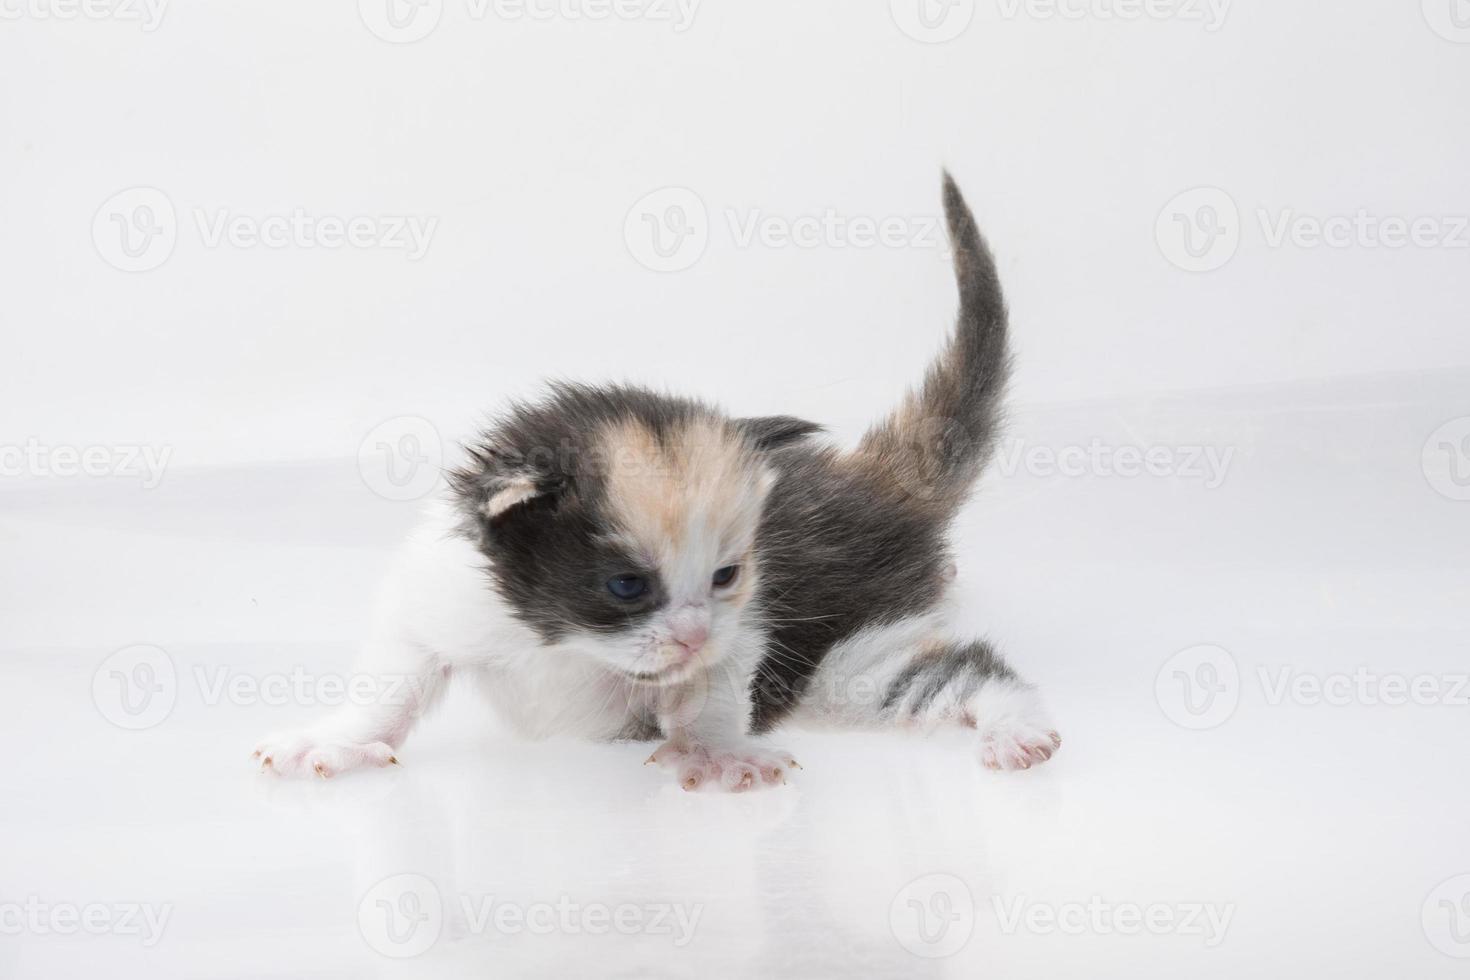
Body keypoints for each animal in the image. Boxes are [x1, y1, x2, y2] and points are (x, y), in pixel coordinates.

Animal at [252, 174, 1058, 787]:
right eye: (626, 586)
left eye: (727, 575)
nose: (693, 636)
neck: (564, 643)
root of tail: (872, 486)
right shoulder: (438, 597)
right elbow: (391, 684)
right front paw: (336, 740)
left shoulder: (747, 628)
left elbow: (718, 686)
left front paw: (717, 750)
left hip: (851, 645)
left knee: (962, 670)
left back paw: (1015, 731)